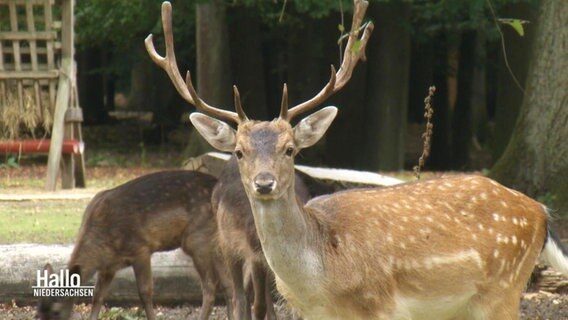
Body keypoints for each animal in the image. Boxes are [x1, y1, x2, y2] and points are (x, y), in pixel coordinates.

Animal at [36, 171, 232, 320]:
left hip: (197, 240)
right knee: (228, 284)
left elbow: (145, 292)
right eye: (38, 310)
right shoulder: (108, 267)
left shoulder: (141, 248)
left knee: (210, 286)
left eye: (56, 310)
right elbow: (98, 295)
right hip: (215, 244)